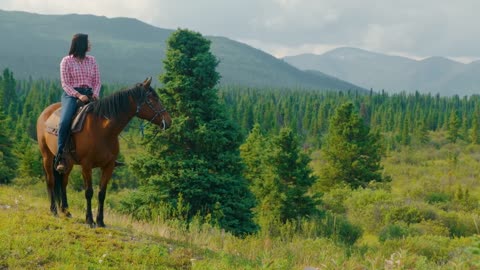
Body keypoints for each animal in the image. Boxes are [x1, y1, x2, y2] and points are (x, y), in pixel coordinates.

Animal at [37, 78, 172, 228]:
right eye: (152, 99)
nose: (168, 121)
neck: (103, 129)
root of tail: (45, 112)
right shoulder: (86, 166)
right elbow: (89, 192)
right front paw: (89, 220)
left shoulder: (109, 166)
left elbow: (102, 193)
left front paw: (100, 221)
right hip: (47, 156)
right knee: (51, 181)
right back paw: (54, 210)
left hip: (68, 162)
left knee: (63, 182)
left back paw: (66, 211)